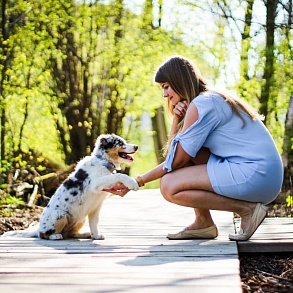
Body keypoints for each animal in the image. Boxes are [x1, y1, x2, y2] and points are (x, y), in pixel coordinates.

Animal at [2, 135, 139, 240]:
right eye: (120, 143)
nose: (136, 147)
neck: (103, 162)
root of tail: (38, 228)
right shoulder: (96, 183)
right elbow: (119, 175)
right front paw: (133, 183)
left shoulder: (96, 207)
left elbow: (94, 222)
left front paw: (96, 235)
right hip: (60, 215)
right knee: (44, 235)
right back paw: (55, 236)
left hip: (80, 220)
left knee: (70, 233)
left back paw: (85, 234)